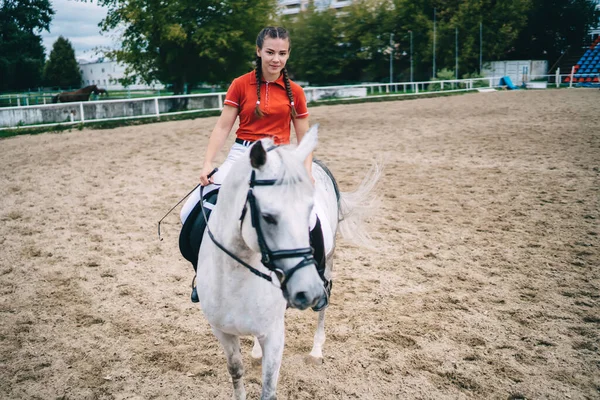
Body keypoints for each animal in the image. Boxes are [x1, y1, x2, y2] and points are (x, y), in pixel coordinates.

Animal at [196, 124, 376, 396]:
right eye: (268, 216)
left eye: (309, 211)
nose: (308, 291)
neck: (234, 279)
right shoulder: (222, 332)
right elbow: (236, 373)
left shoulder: (274, 336)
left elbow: (269, 388)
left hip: (328, 264)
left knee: (324, 308)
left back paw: (316, 351)